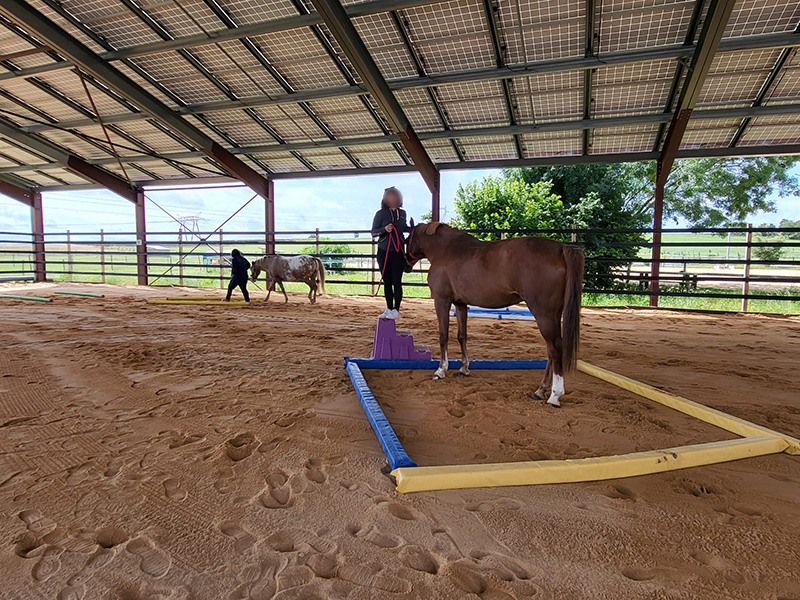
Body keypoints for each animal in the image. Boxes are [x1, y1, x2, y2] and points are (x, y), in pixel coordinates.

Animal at [406, 222, 584, 407]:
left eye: (407, 239)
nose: (406, 265)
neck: (446, 249)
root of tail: (560, 248)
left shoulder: (442, 301)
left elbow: (443, 336)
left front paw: (440, 370)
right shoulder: (460, 304)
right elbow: (462, 336)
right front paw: (464, 368)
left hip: (544, 314)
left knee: (555, 349)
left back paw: (554, 395)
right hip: (554, 315)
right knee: (552, 350)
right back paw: (540, 390)